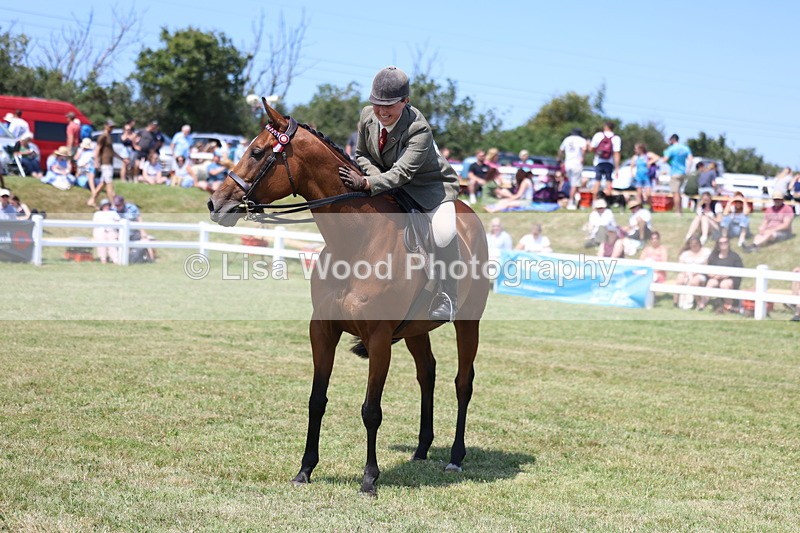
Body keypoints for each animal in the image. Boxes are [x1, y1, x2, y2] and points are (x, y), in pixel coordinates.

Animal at [208, 101, 490, 496]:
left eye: (258, 152)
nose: (215, 203)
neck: (357, 243)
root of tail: (469, 214)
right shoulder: (322, 330)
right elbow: (316, 401)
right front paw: (305, 469)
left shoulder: (379, 338)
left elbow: (371, 410)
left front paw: (369, 478)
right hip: (417, 329)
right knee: (427, 373)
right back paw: (422, 449)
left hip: (468, 322)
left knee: (463, 382)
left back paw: (455, 457)